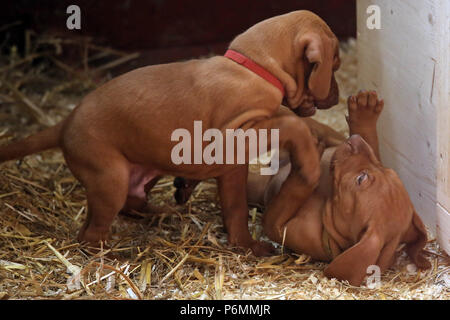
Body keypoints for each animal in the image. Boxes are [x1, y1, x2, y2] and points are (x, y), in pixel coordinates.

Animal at [0, 10, 340, 256]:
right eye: (334, 64)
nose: (337, 97)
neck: (254, 67)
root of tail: (66, 122)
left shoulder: (233, 168)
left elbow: (236, 212)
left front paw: (247, 246)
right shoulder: (236, 135)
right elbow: (290, 123)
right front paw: (310, 164)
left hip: (144, 170)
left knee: (132, 204)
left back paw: (163, 211)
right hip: (109, 178)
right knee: (90, 234)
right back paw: (109, 254)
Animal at [175, 91, 428, 286]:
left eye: (361, 179)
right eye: (389, 171)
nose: (355, 140)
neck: (326, 204)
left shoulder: (278, 226)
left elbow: (290, 193)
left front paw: (308, 167)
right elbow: (370, 146)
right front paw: (363, 120)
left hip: (257, 186)